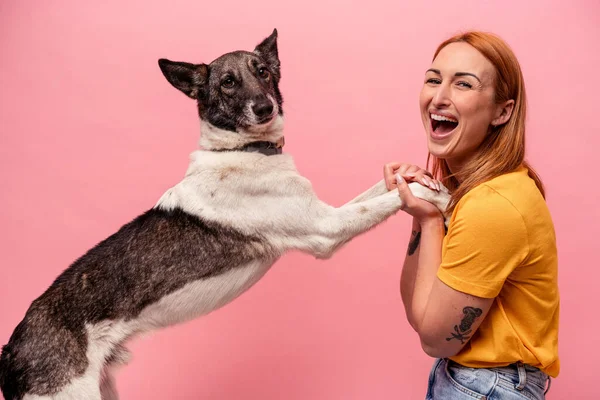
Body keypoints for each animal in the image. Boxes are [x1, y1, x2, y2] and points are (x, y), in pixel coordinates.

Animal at [0, 29, 450, 398]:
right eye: (228, 82)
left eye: (263, 71)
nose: (265, 107)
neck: (243, 150)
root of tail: (11, 350)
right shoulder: (325, 228)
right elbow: (388, 199)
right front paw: (436, 196)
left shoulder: (324, 211)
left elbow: (384, 187)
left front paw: (420, 176)